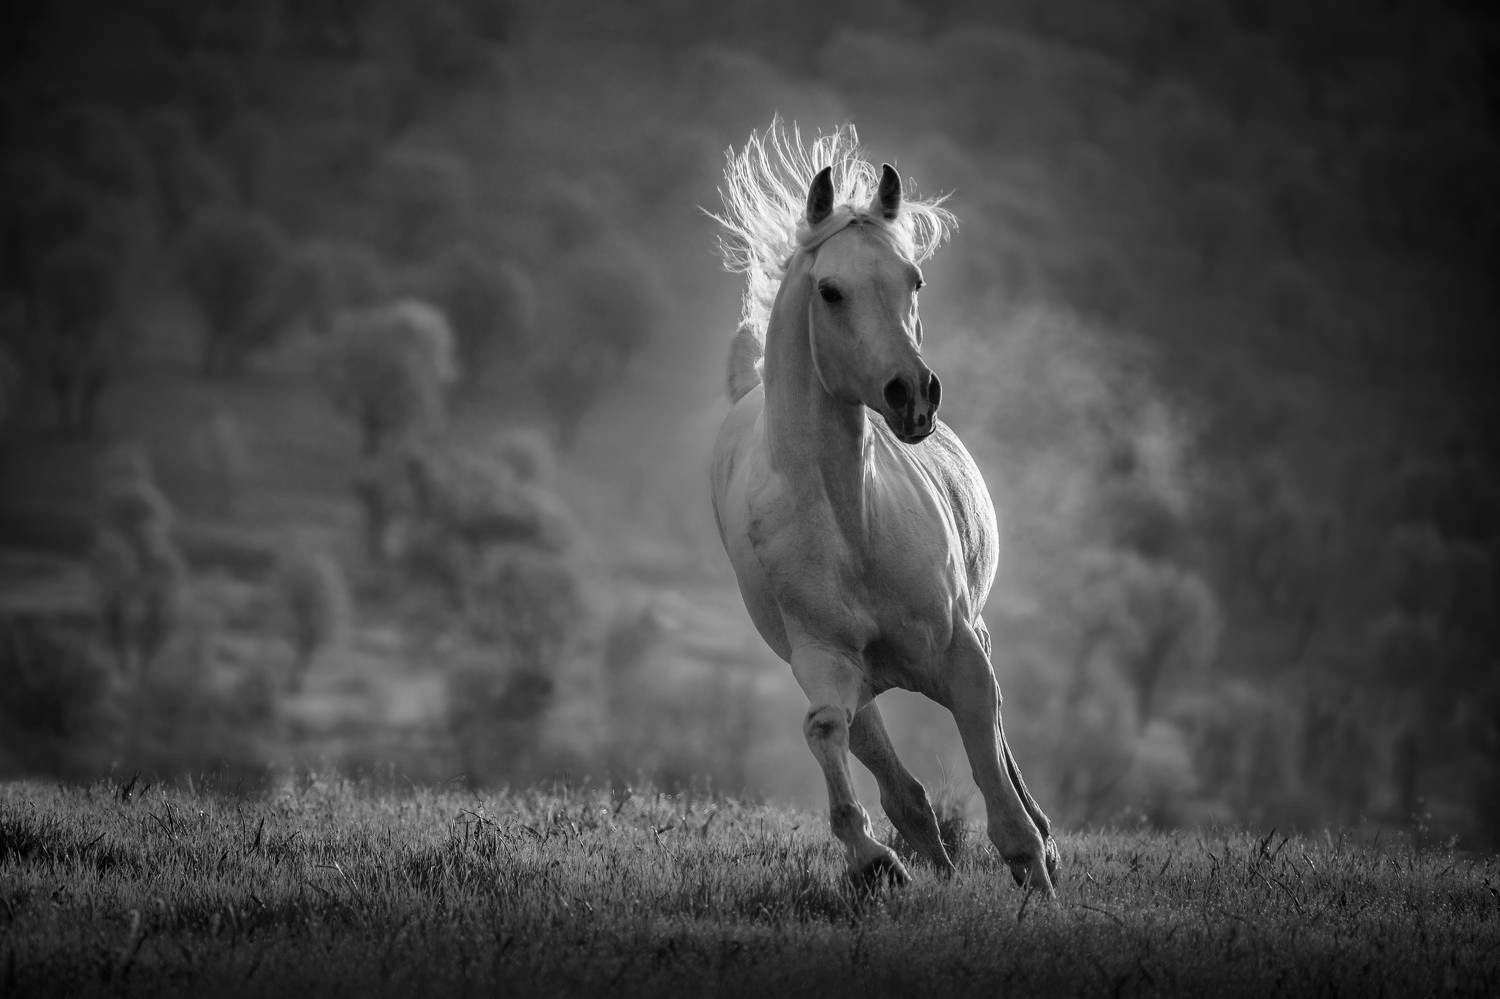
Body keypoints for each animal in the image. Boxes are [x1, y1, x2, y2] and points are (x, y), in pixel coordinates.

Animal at [708, 121, 1059, 894]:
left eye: (914, 280)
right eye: (831, 290)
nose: (914, 396)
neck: (853, 525)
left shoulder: (961, 654)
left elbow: (999, 789)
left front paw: (1039, 874)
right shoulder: (826, 665)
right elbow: (828, 738)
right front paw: (876, 861)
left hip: (970, 636)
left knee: (997, 747)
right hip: (862, 683)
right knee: (900, 784)